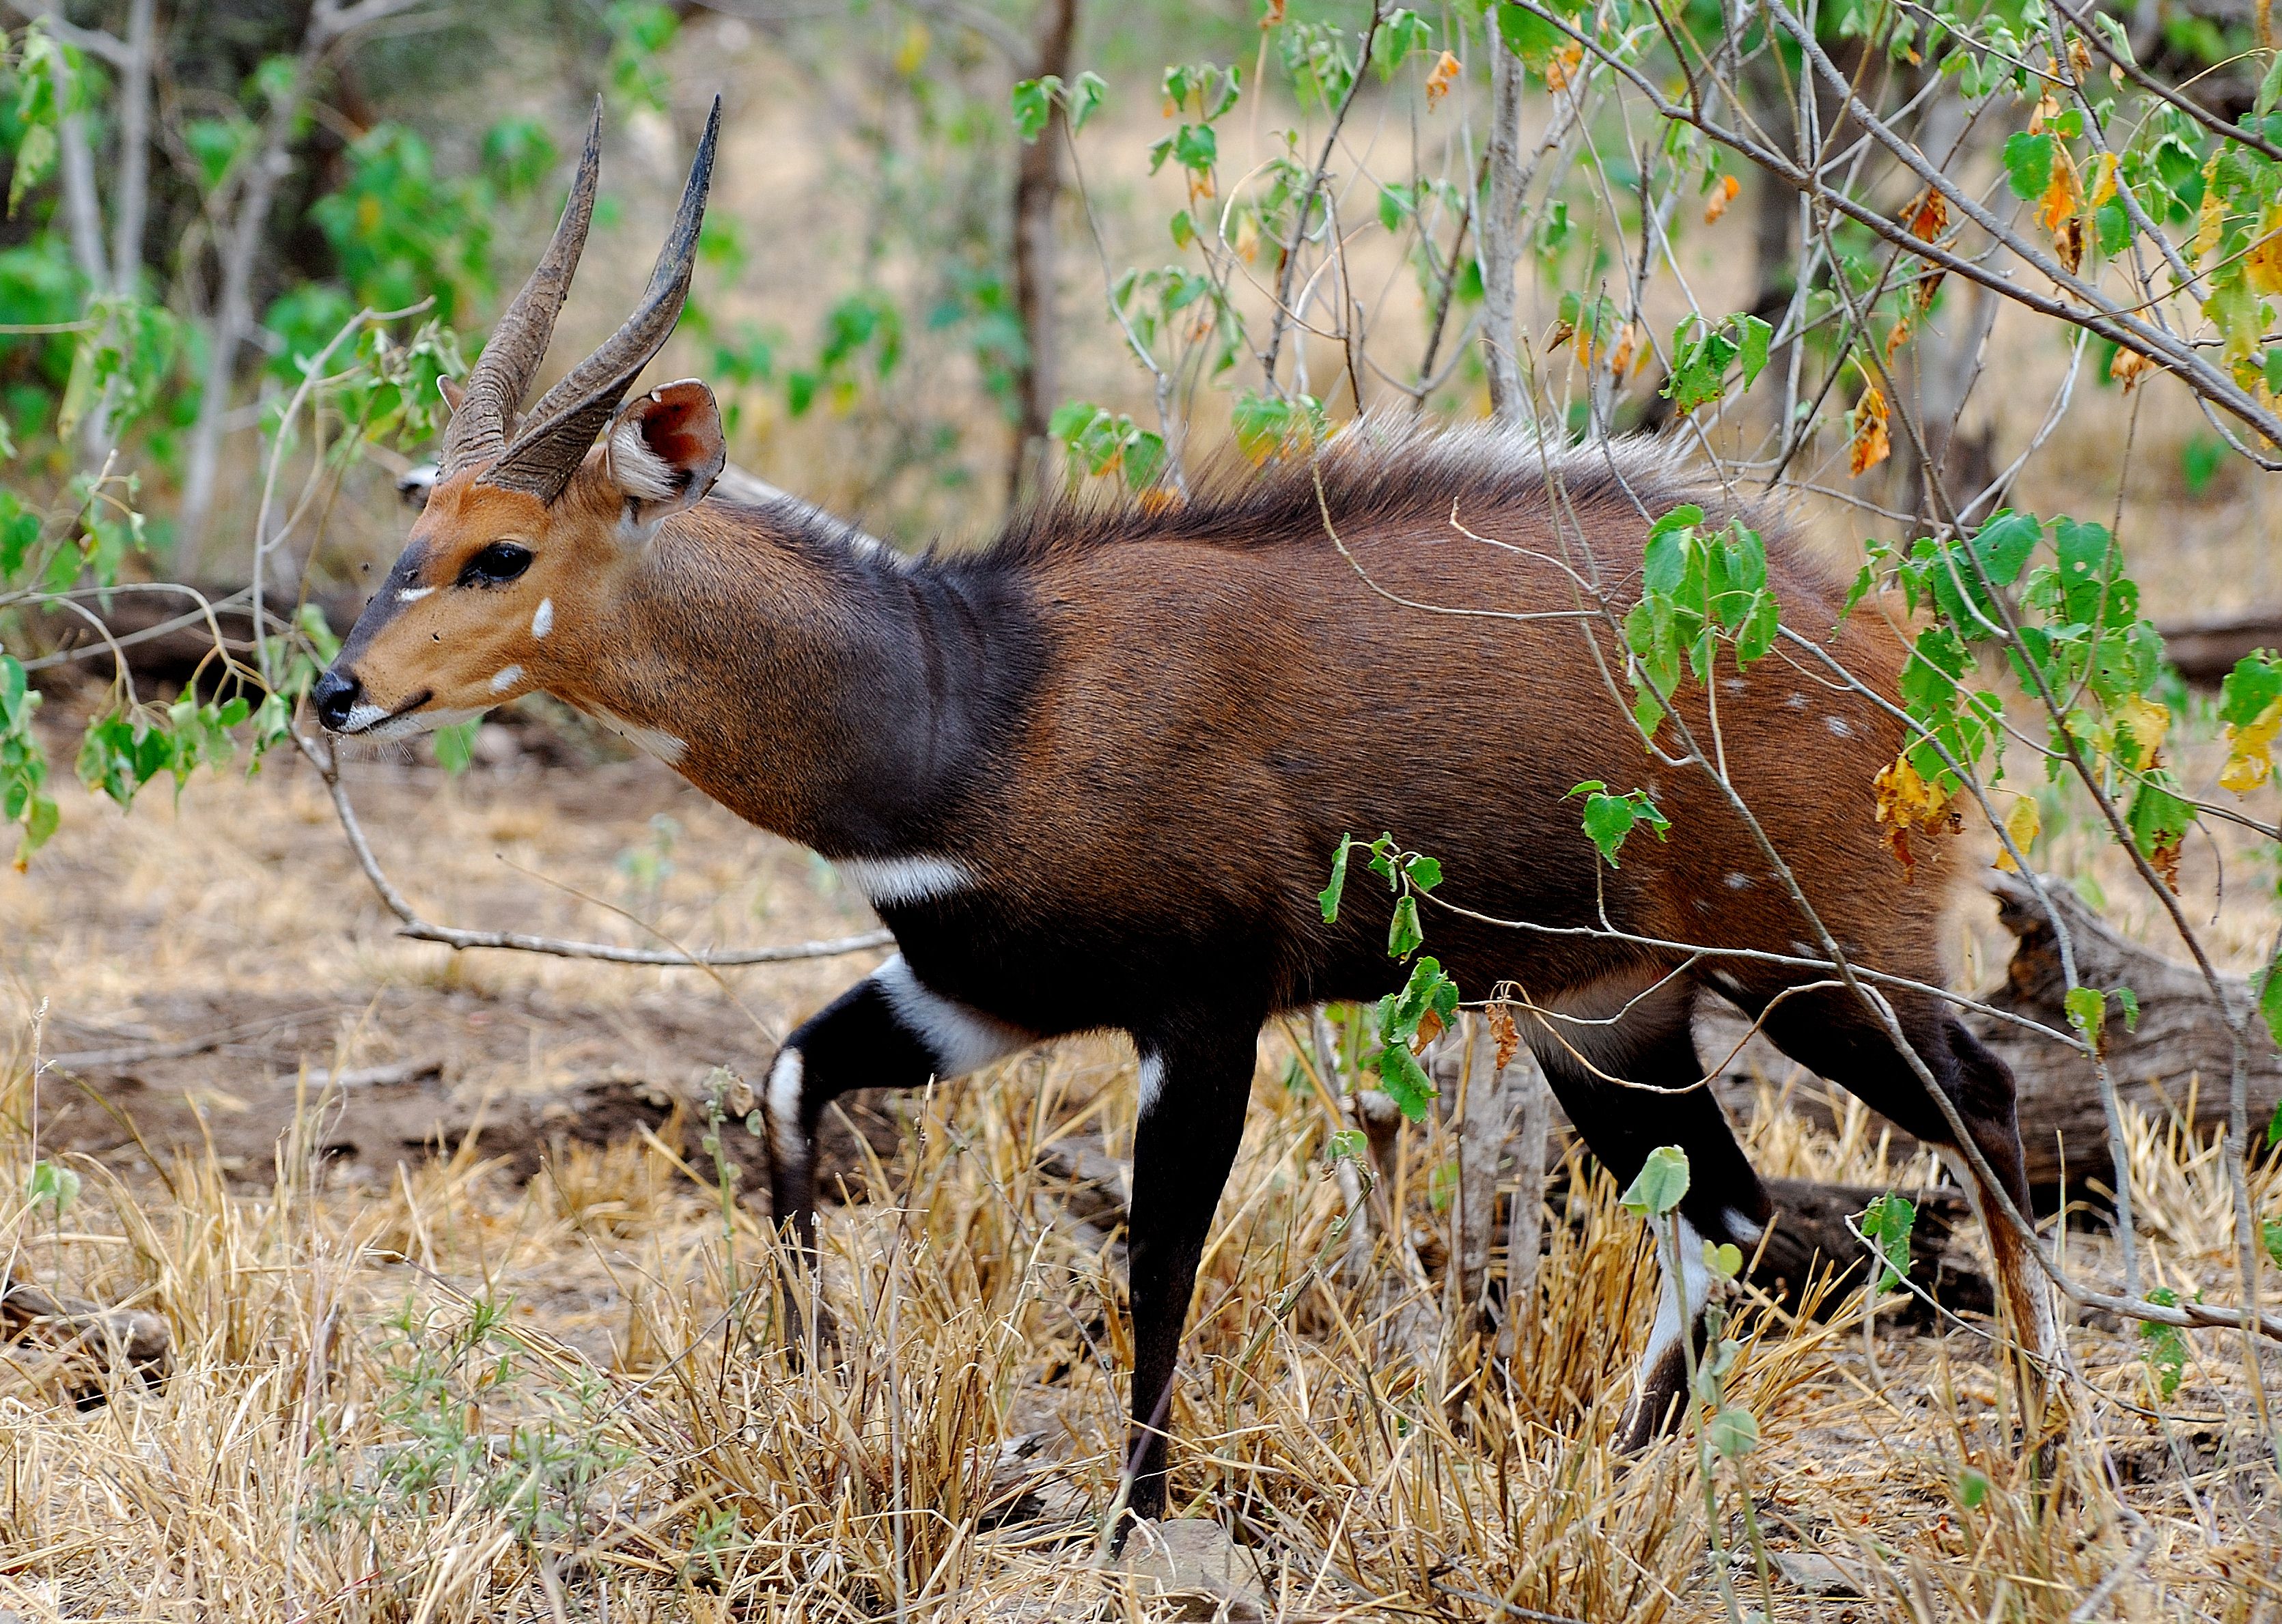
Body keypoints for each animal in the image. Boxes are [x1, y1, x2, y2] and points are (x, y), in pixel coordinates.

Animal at [322, 107, 2072, 1532]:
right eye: (417, 522)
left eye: (500, 552)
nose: (338, 691)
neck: (970, 696)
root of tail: (1893, 662)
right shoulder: (972, 996)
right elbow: (790, 1081)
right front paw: (817, 1370)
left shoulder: (1204, 1003)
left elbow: (1158, 1263)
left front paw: (1129, 1525)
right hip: (1607, 1012)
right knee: (1725, 1201)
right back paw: (1620, 1473)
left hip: (1816, 964)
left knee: (1984, 1106)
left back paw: (2047, 1457)